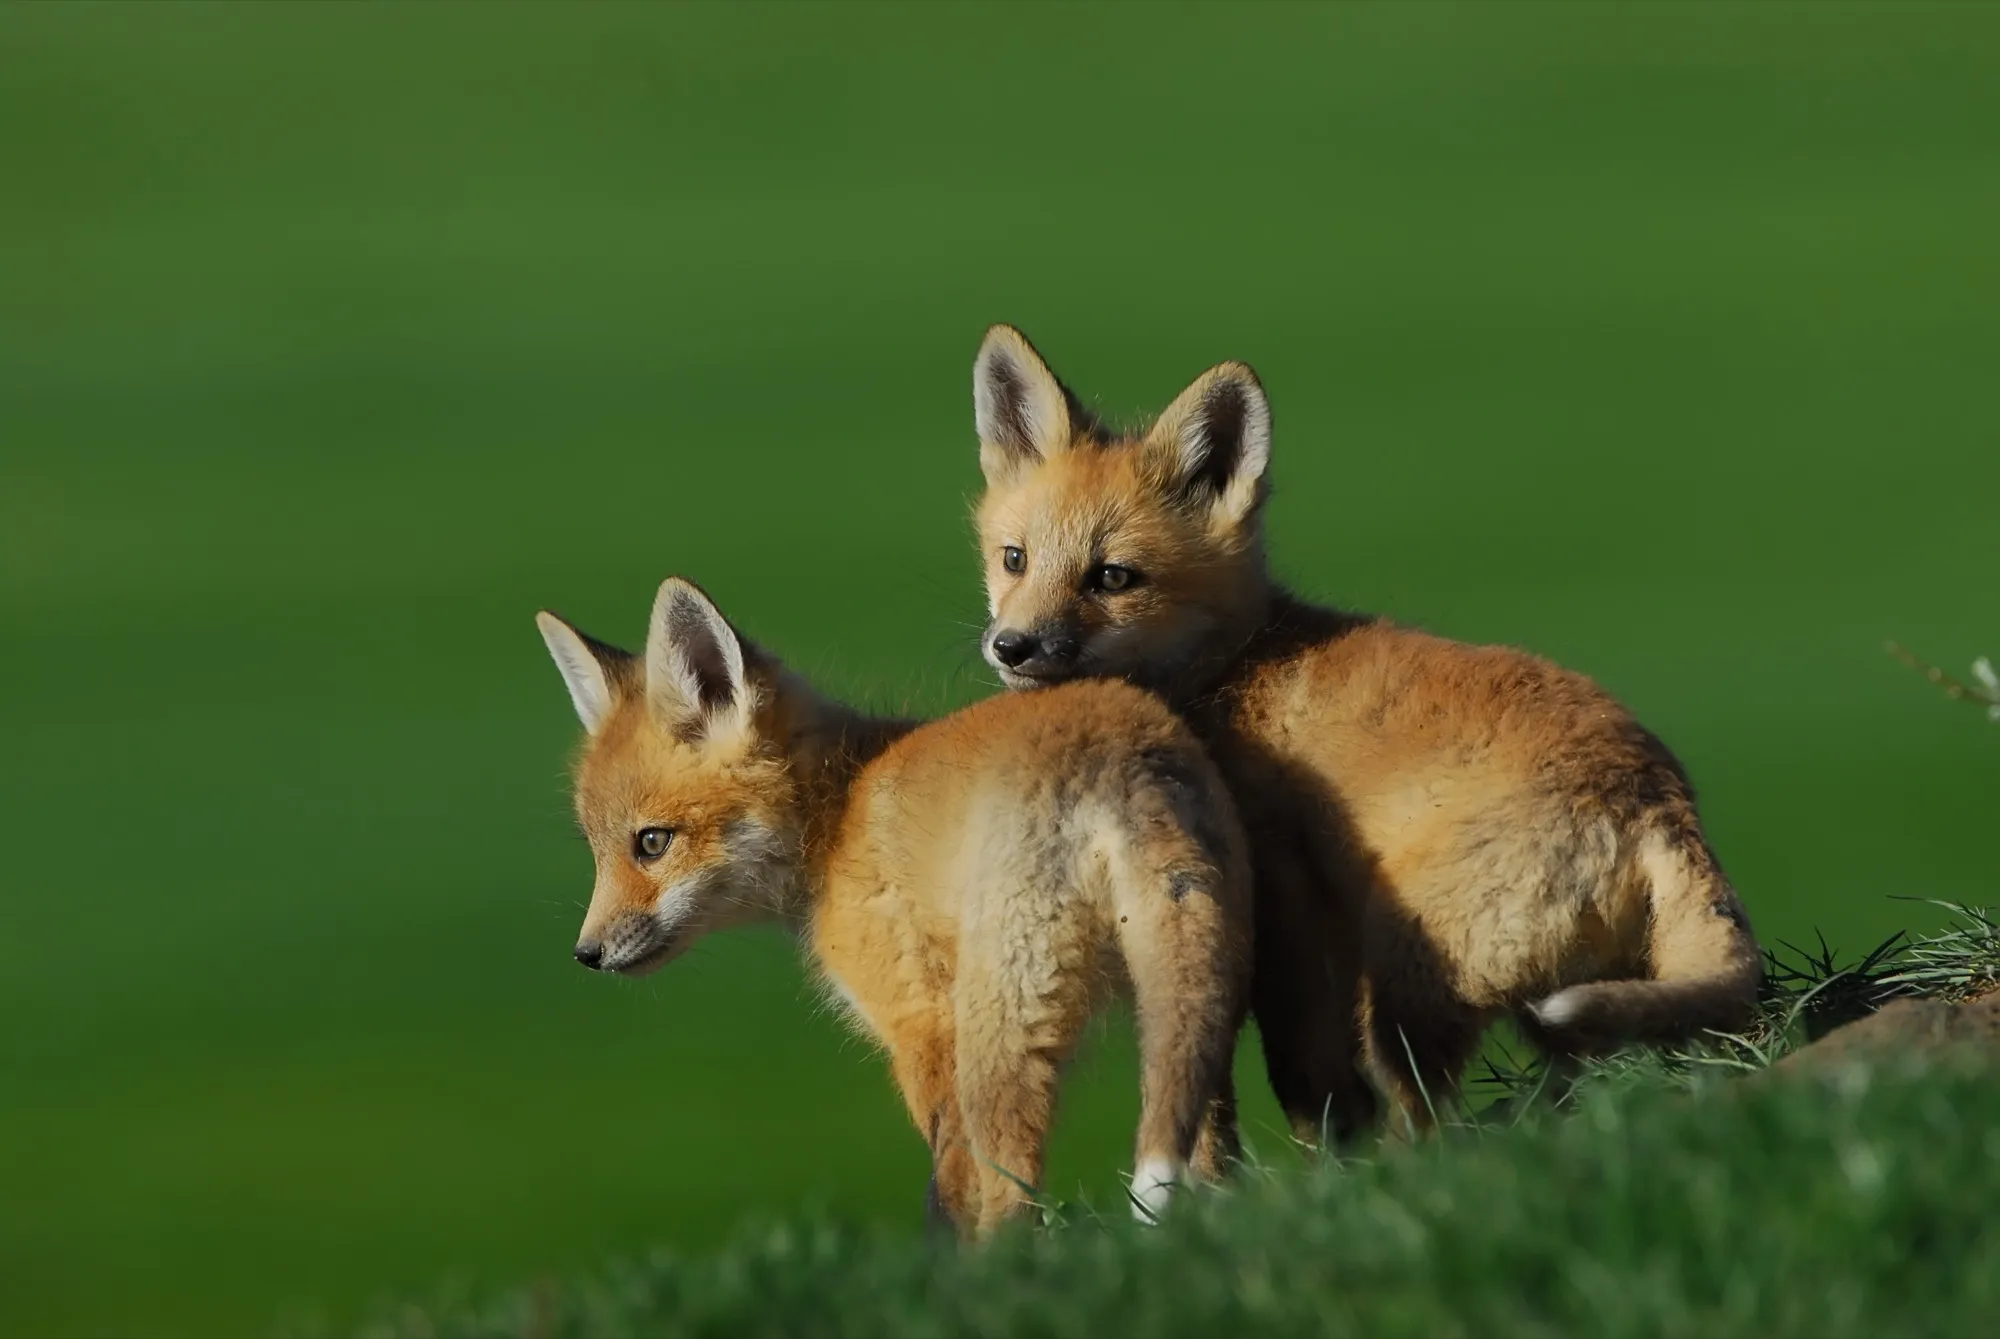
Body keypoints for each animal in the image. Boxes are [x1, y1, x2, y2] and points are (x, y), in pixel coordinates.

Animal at [535, 575, 1253, 1237]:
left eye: (652, 843)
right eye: (598, 850)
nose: (586, 953)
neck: (837, 816)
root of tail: (1116, 758)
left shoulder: (921, 1025)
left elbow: (948, 1194)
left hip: (1001, 1034)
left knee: (1013, 1197)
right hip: (1190, 986)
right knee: (1210, 1153)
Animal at [966, 324, 1764, 1140]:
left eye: (1113, 577)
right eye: (1015, 559)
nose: (1011, 647)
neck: (1240, 666)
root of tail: (1661, 801)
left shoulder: (1287, 899)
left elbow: (1306, 1078)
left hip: (1407, 979)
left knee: (1431, 1120)